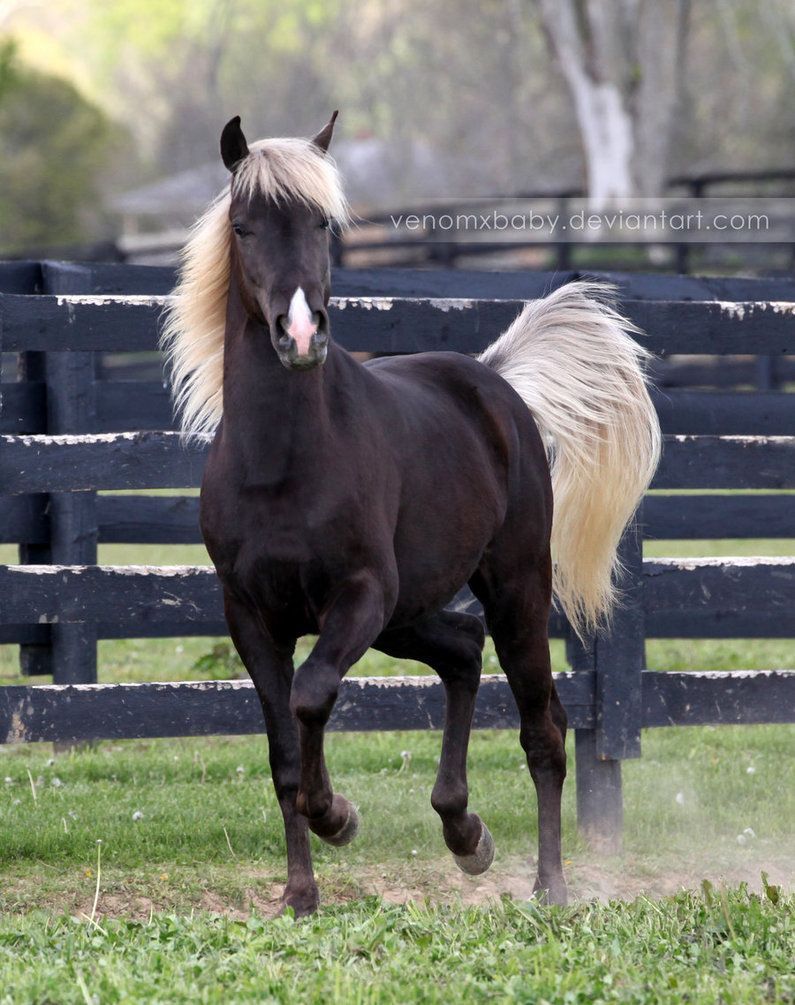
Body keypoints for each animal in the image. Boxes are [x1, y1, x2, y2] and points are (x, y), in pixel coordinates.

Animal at [161, 112, 659, 920]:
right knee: (461, 649)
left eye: (323, 223)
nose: (302, 335)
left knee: (543, 729)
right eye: (242, 226)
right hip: (408, 615)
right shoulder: (251, 616)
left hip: (512, 589)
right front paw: (300, 893)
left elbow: (311, 695)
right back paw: (465, 833)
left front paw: (337, 816)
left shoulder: (358, 595)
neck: (281, 464)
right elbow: (281, 751)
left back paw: (548, 886)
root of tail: (494, 382)